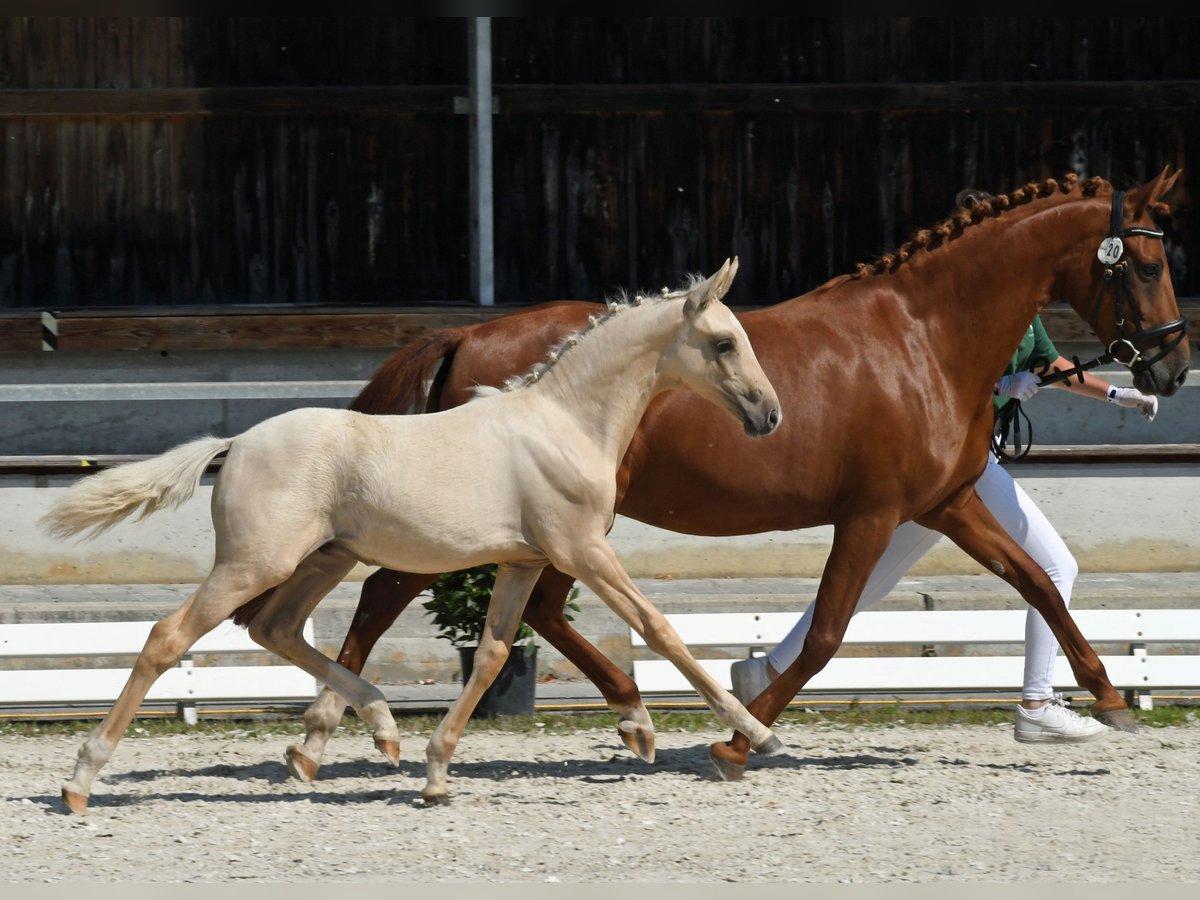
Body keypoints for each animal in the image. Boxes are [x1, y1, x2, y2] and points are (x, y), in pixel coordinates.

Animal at [42, 256, 782, 816]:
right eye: (723, 342)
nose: (770, 415)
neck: (563, 425)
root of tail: (237, 443)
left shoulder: (523, 561)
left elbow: (491, 655)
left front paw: (434, 775)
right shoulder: (581, 550)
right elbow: (659, 629)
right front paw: (752, 737)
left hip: (323, 559)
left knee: (276, 629)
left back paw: (380, 729)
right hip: (256, 562)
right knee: (170, 636)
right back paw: (79, 782)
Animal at [295, 170, 1185, 782]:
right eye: (1143, 266)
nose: (1171, 368)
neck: (925, 337)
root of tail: (466, 336)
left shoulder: (947, 504)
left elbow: (1037, 583)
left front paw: (1108, 700)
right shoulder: (871, 514)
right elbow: (826, 634)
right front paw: (736, 740)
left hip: (565, 525)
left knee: (531, 609)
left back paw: (630, 715)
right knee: (386, 597)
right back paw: (323, 735)